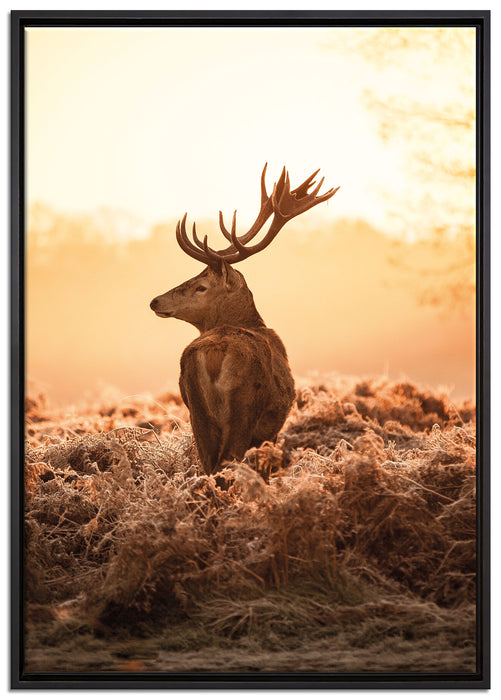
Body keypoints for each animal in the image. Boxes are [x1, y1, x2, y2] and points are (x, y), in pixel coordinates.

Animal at [150, 164, 338, 476]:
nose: (155, 300)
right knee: (227, 463)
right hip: (245, 407)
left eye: (200, 286)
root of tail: (214, 352)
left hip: (196, 411)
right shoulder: (270, 430)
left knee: (209, 465)